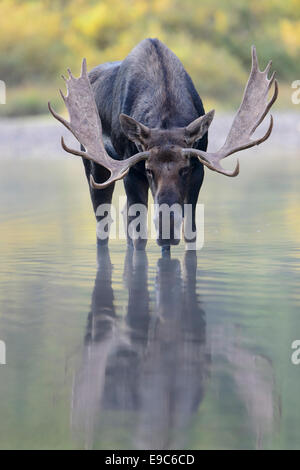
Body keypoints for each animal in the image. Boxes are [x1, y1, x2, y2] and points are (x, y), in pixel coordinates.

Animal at [48, 38, 276, 252]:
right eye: (149, 170)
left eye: (185, 169)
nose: (167, 225)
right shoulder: (130, 170)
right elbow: (140, 235)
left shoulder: (199, 168)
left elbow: (190, 233)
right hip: (96, 166)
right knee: (103, 222)